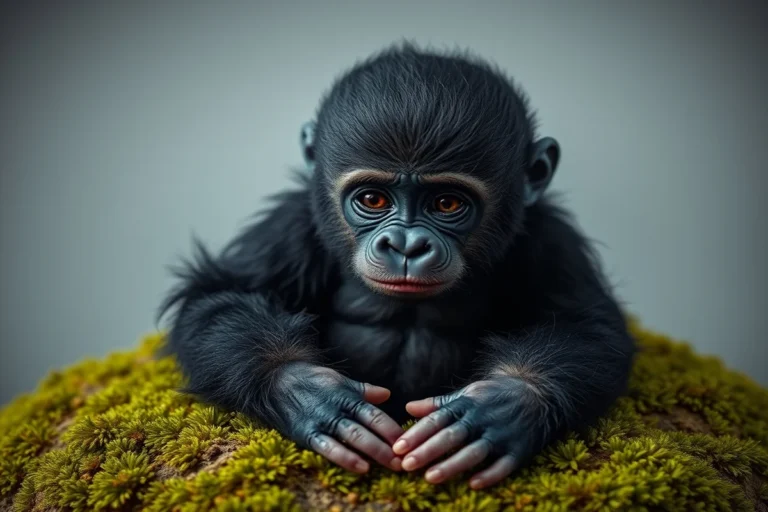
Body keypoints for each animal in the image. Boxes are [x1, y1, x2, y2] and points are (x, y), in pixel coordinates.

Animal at [159, 43, 636, 489]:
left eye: (447, 203)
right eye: (373, 199)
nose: (407, 245)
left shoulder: (549, 240)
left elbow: (585, 325)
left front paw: (505, 404)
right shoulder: (290, 226)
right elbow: (221, 296)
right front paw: (306, 391)